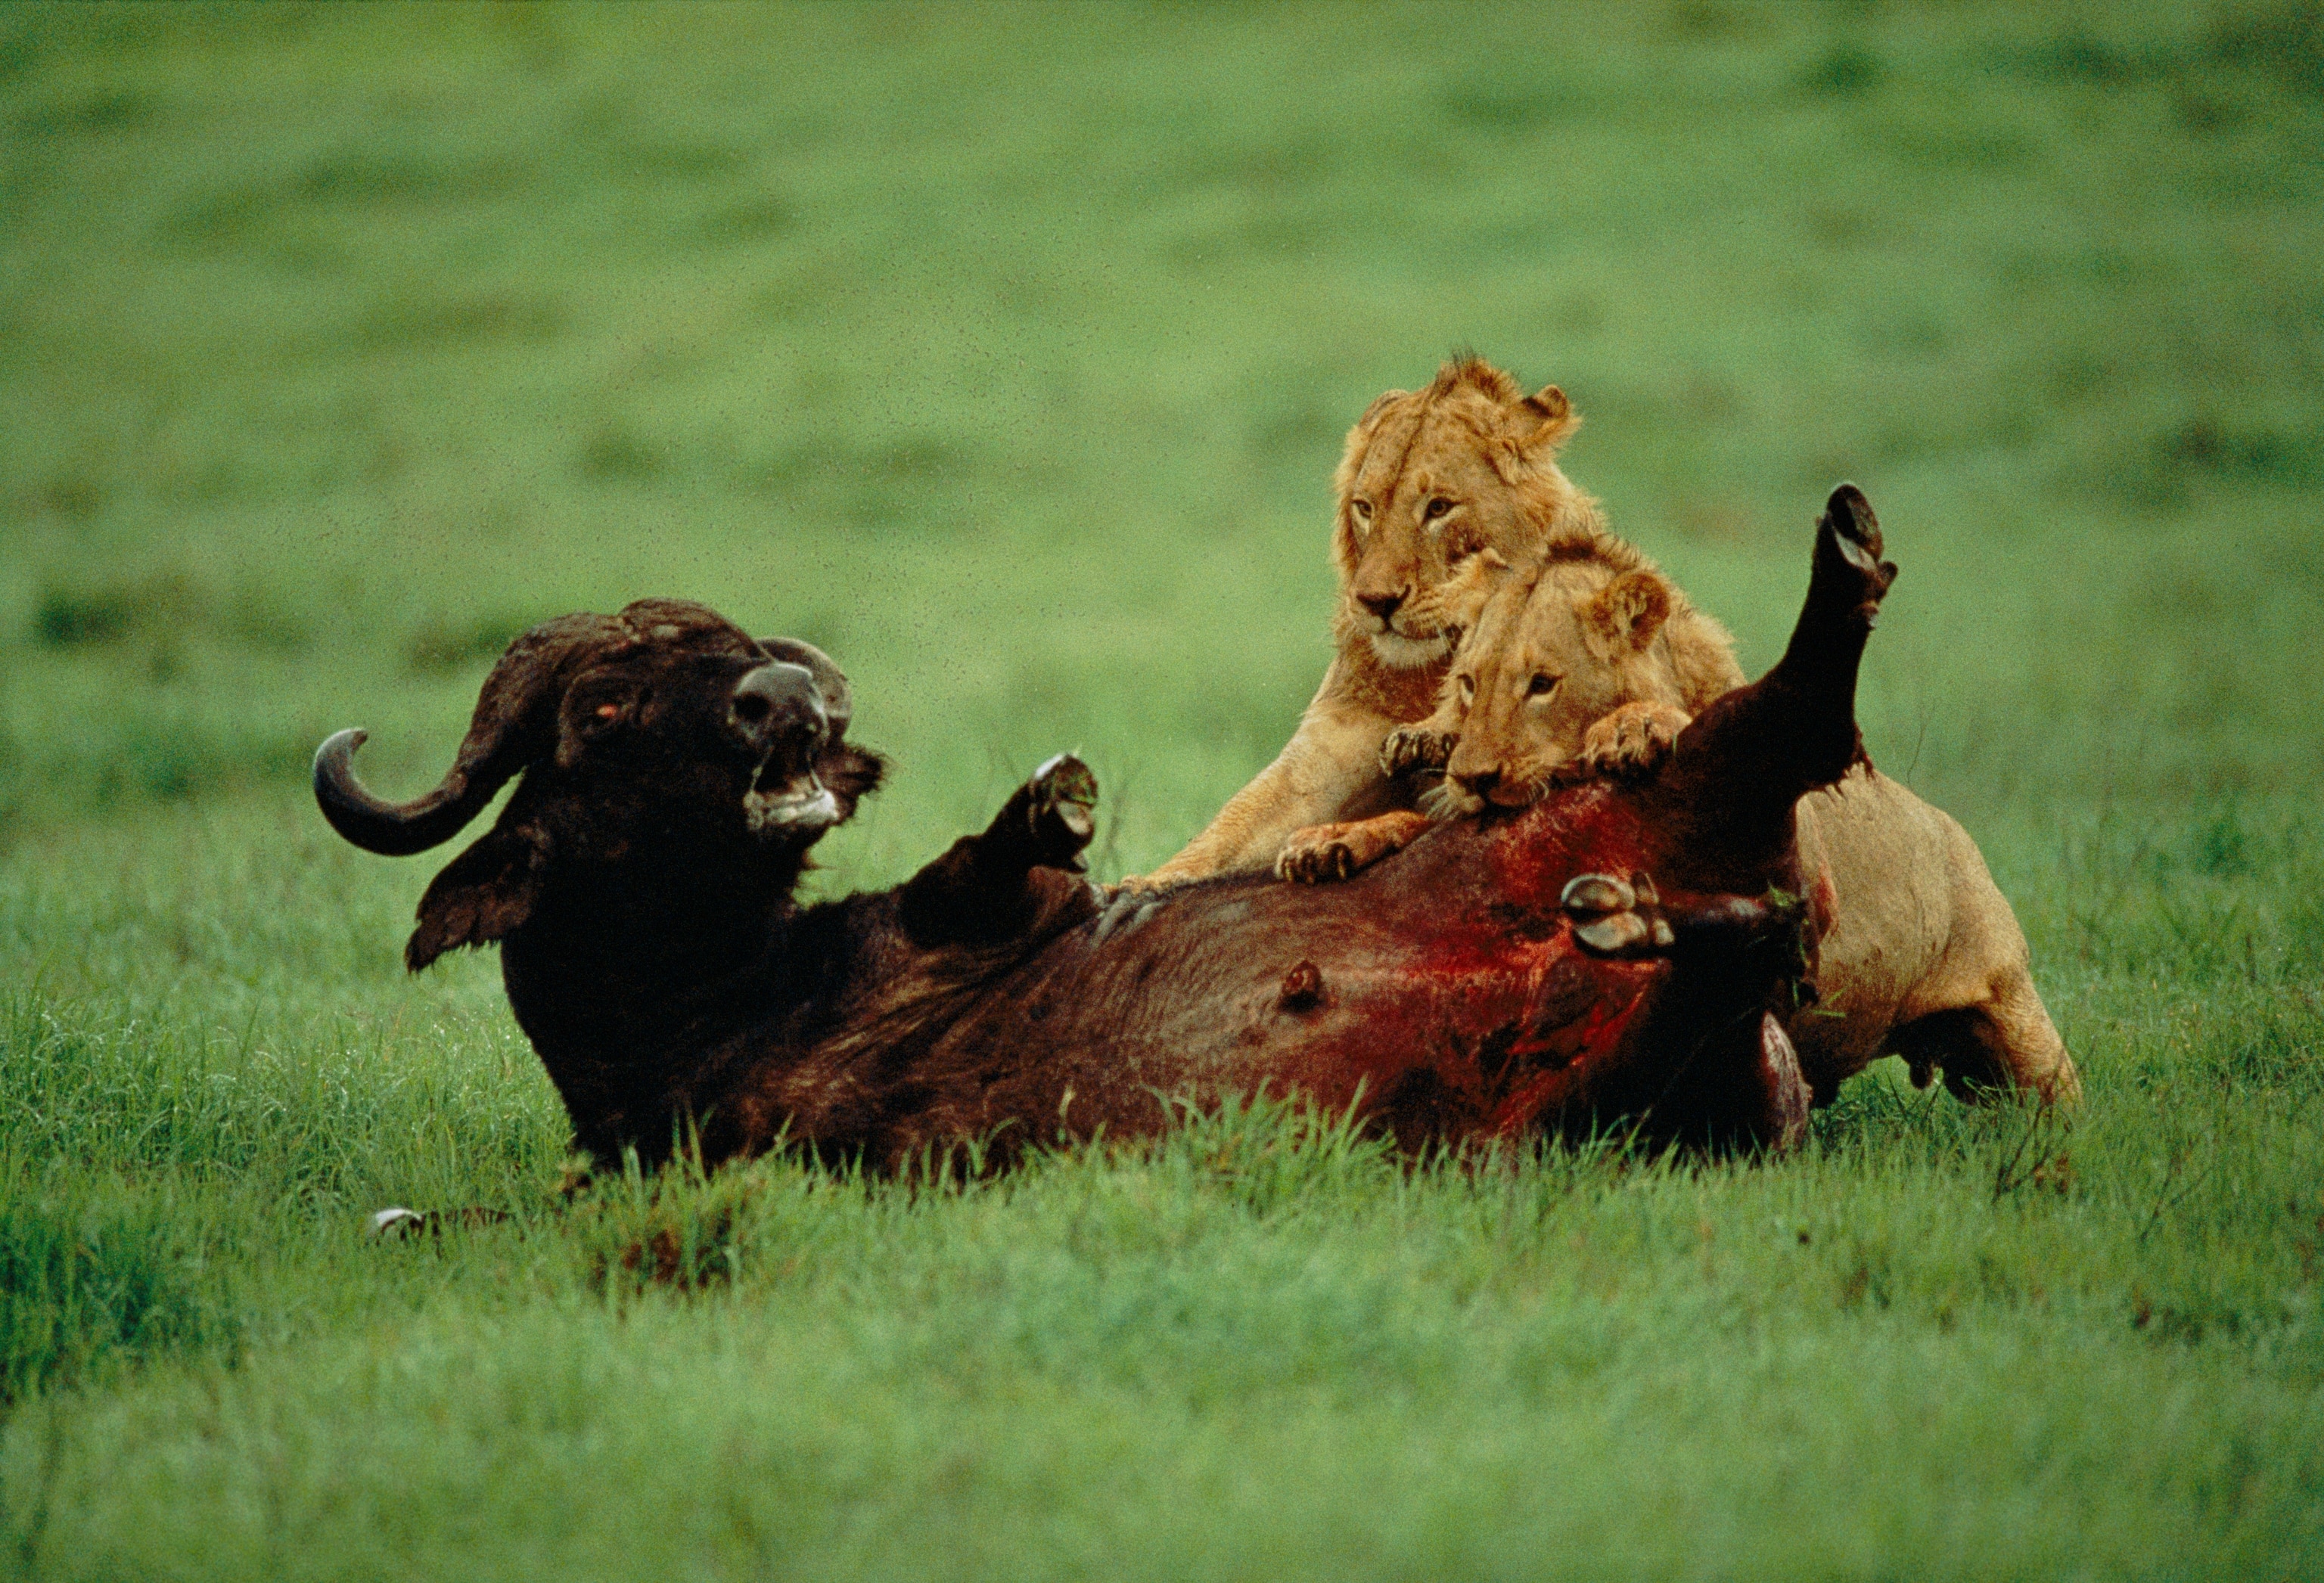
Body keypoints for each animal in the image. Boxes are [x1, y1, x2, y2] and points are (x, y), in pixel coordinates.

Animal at [1135, 355, 1607, 890]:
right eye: (1365, 508)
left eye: (1439, 507)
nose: (1376, 601)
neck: (1422, 676)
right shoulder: (1331, 748)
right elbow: (1224, 832)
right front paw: (1133, 889)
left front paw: (1337, 838)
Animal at [1357, 496, 2080, 1106]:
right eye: (1469, 682)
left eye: (1542, 684)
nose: (1473, 778)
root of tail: (1953, 827)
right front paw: (1355, 828)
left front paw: (1631, 729)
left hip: (2019, 1023)